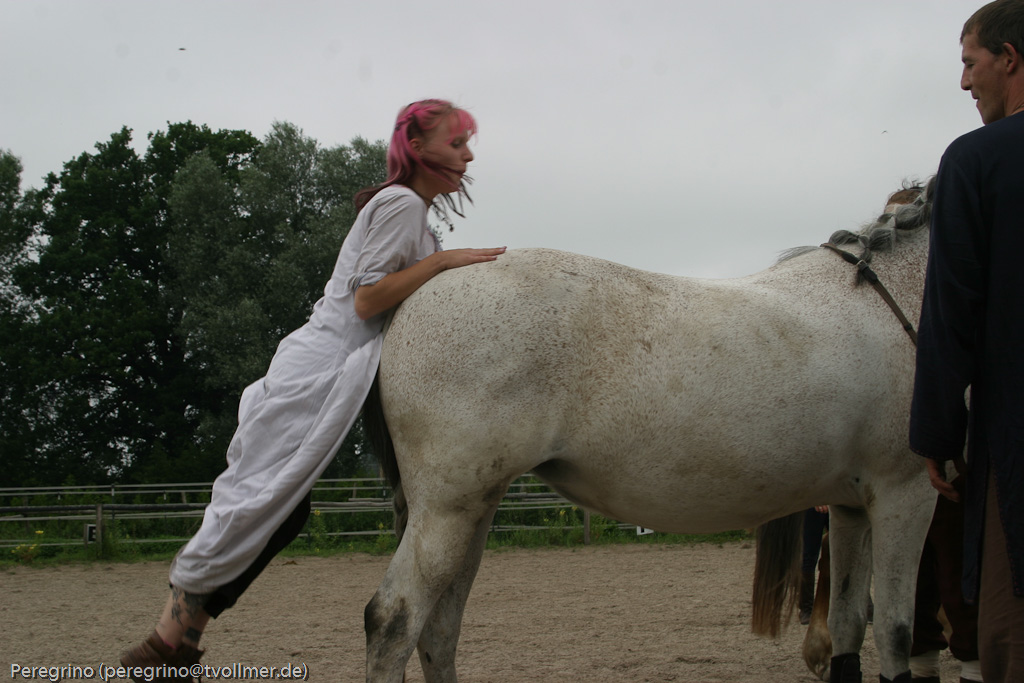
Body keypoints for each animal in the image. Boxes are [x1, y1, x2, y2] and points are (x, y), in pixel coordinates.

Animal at [362, 180, 938, 683]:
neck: (894, 298)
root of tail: (411, 299)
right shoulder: (906, 494)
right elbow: (896, 630)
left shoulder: (851, 506)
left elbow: (849, 622)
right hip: (446, 509)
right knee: (393, 621)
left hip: (474, 510)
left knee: (440, 627)